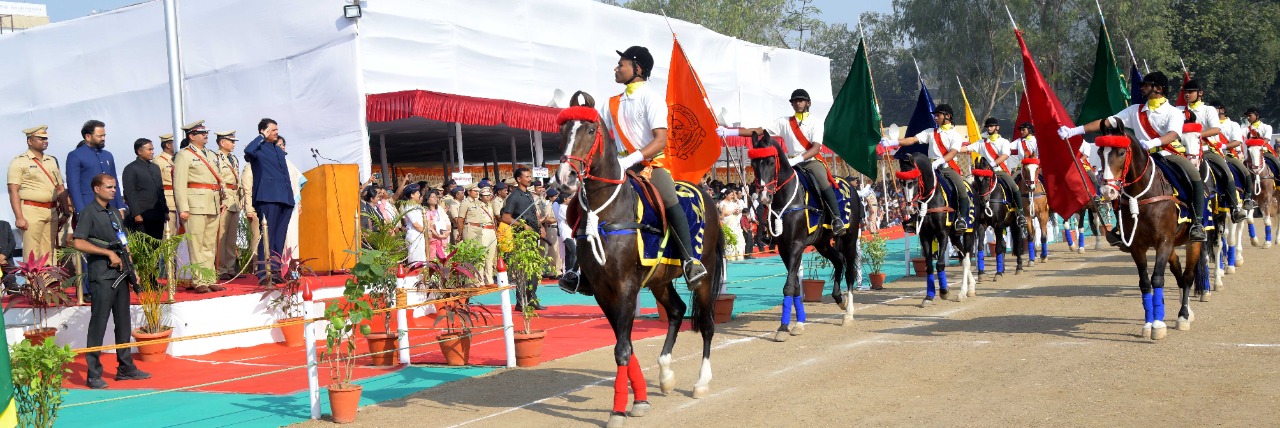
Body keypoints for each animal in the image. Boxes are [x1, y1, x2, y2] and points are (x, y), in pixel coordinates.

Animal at [555, 92, 727, 425]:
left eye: (591, 131)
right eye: (563, 130)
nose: (564, 178)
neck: (607, 212)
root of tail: (706, 195)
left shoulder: (626, 285)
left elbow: (622, 349)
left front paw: (619, 409)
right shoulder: (602, 290)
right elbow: (626, 345)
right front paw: (640, 400)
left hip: (706, 272)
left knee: (708, 324)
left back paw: (701, 382)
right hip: (660, 280)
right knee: (677, 311)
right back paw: (665, 374)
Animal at [747, 130, 860, 338]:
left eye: (771, 162)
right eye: (753, 164)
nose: (764, 197)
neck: (785, 200)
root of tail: (849, 185)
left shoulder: (796, 245)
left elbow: (789, 286)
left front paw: (783, 327)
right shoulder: (784, 248)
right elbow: (795, 286)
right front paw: (798, 322)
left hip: (849, 237)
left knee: (849, 271)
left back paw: (848, 313)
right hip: (822, 243)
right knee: (838, 260)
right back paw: (839, 299)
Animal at [896, 150, 972, 303]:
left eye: (914, 181)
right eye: (901, 182)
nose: (910, 209)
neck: (930, 200)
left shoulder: (942, 234)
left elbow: (940, 264)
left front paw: (944, 291)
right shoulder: (925, 235)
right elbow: (929, 266)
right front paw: (929, 295)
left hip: (968, 231)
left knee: (967, 258)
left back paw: (964, 291)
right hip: (954, 236)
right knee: (963, 257)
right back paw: (969, 287)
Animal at [1095, 118, 1203, 338]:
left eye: (1121, 152)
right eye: (1101, 152)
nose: (1108, 191)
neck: (1142, 196)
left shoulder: (1163, 242)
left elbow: (1157, 279)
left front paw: (1158, 325)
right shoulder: (1137, 246)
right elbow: (1145, 282)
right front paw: (1148, 323)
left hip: (1191, 242)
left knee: (1187, 276)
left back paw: (1183, 315)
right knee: (1179, 274)